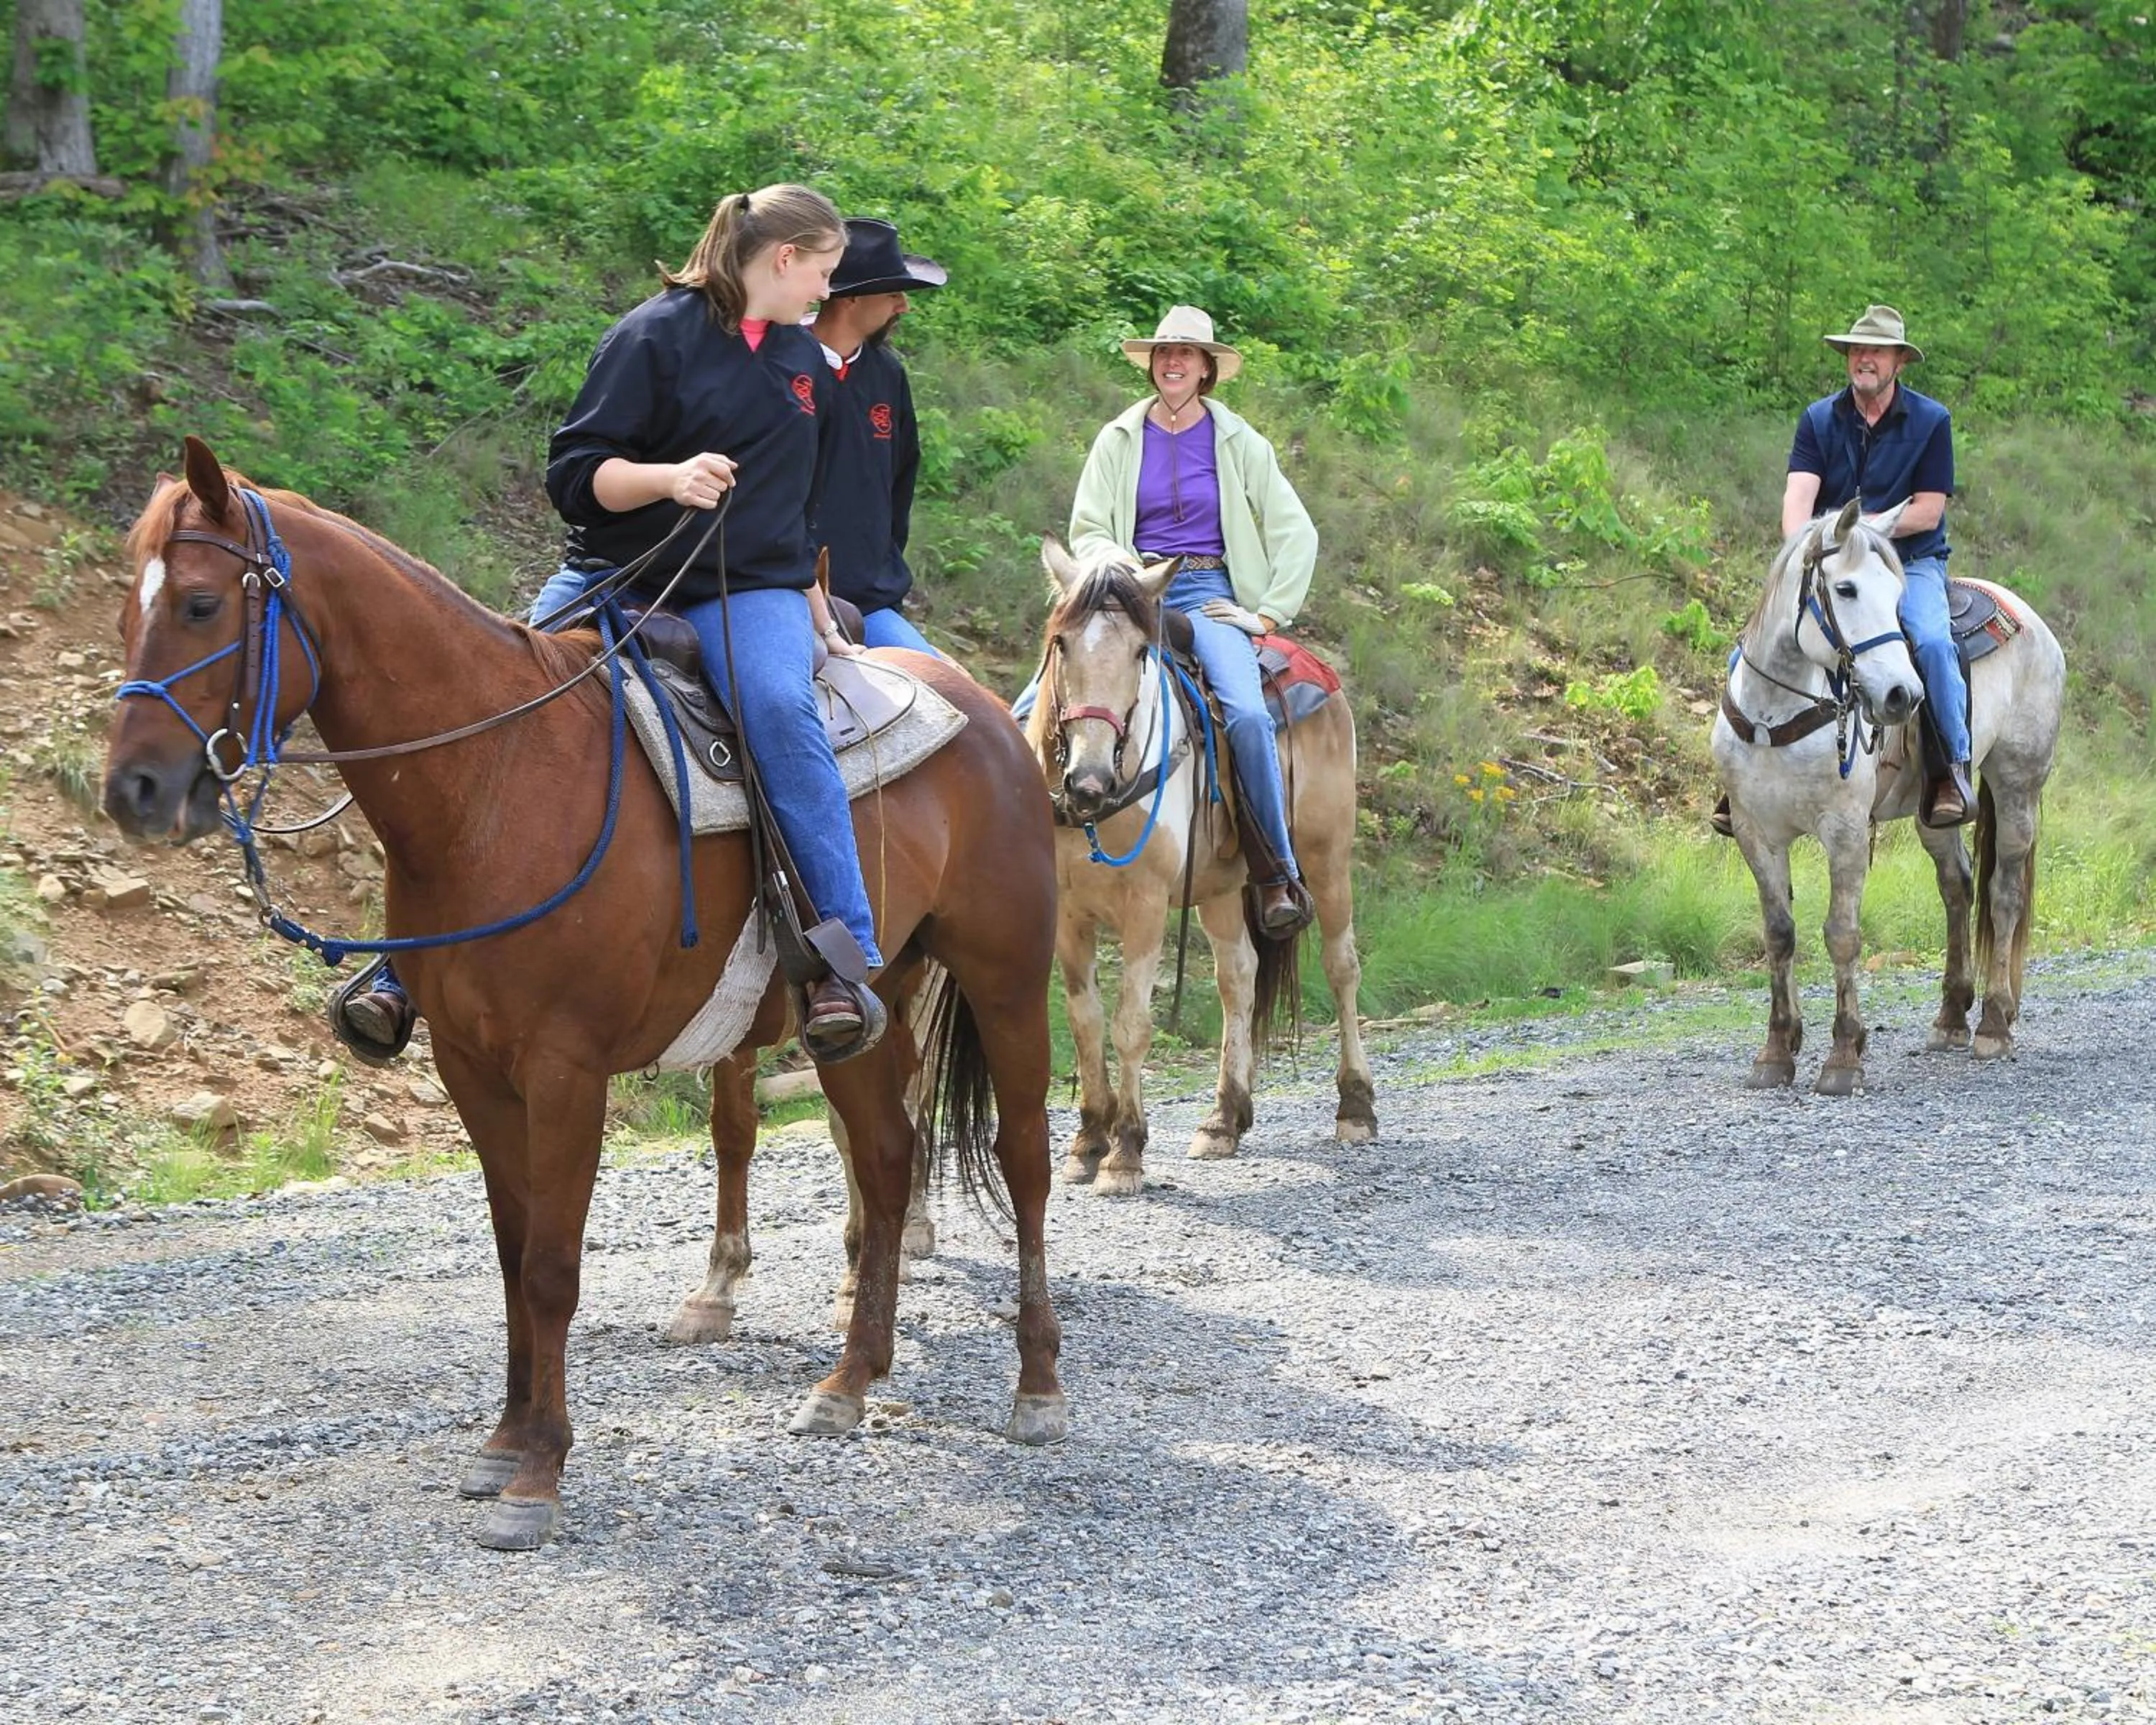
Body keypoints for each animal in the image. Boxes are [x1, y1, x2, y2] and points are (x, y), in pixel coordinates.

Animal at [101, 437, 1068, 1551]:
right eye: (129, 610)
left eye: (202, 605)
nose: (131, 793)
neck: (494, 785)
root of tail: (985, 707)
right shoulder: (472, 1067)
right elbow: (514, 1257)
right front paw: (503, 1445)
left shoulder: (566, 1071)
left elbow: (555, 1267)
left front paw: (539, 1478)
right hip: (863, 1018)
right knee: (888, 1156)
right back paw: (849, 1382)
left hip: (1006, 981)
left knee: (1024, 1160)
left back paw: (1038, 1386)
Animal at [1022, 541, 1374, 1195]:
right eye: (1061, 644)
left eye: (1141, 652)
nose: (1087, 780)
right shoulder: (1067, 916)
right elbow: (1085, 1022)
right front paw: (1088, 1143)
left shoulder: (1145, 906)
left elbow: (1131, 1023)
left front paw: (1124, 1153)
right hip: (1221, 888)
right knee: (1239, 978)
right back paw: (1223, 1119)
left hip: (1328, 859)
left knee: (1342, 969)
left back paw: (1356, 1107)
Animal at [1713, 497, 2065, 1094]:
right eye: (1846, 588)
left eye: (1897, 596)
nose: (1904, 695)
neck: (1775, 717)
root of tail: (2030, 618)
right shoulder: (1755, 832)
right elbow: (1780, 934)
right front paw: (1777, 1051)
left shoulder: (1846, 831)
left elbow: (1842, 934)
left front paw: (1843, 1056)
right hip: (1935, 812)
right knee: (1958, 887)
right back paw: (1951, 1018)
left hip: (2019, 783)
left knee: (2004, 894)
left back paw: (1994, 1022)